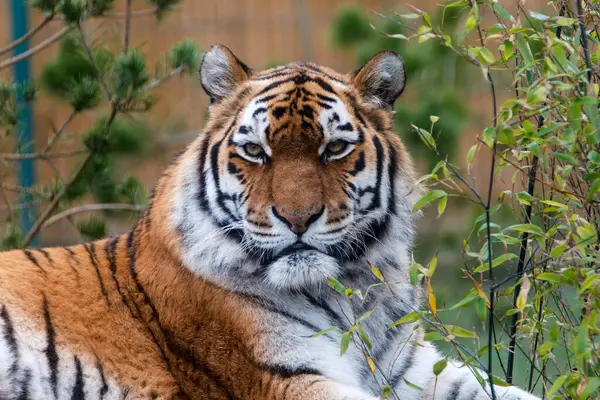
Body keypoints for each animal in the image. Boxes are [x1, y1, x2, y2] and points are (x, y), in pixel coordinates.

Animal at [0, 45, 540, 398]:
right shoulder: (282, 377)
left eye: (334, 148)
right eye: (256, 152)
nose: (297, 218)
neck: (353, 294)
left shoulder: (410, 366)